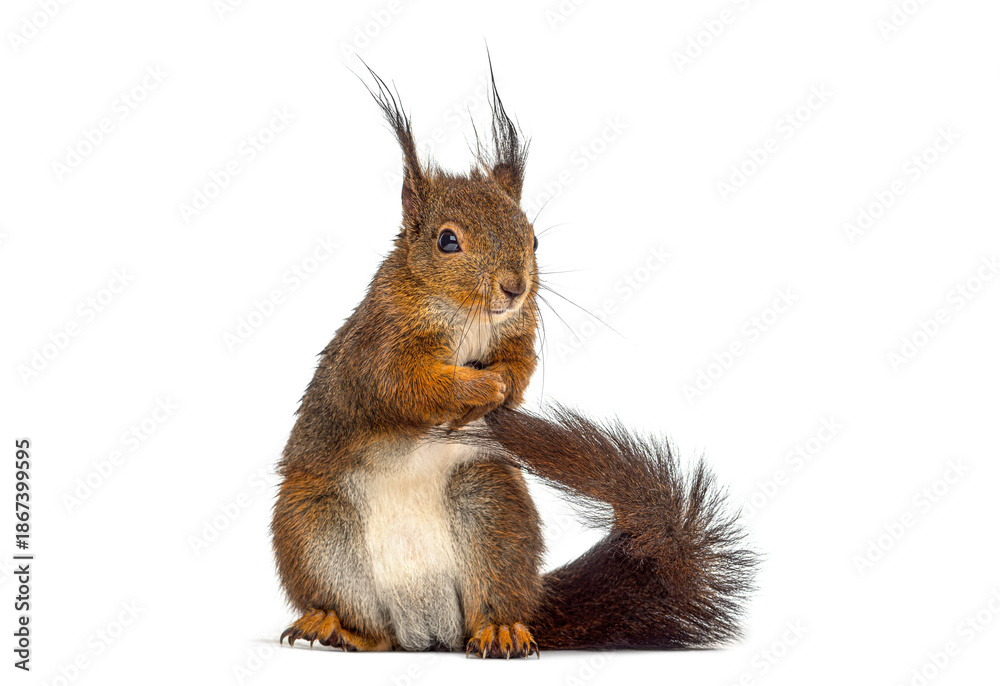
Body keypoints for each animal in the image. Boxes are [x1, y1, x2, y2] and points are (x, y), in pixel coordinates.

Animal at [271, 58, 757, 658]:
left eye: (533, 239)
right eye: (447, 241)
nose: (514, 287)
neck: (468, 320)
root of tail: (425, 630)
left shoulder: (521, 335)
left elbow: (520, 371)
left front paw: (500, 382)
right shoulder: (375, 349)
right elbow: (403, 384)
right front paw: (479, 388)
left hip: (490, 512)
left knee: (487, 606)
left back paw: (500, 630)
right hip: (316, 529)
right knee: (371, 629)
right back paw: (331, 625)